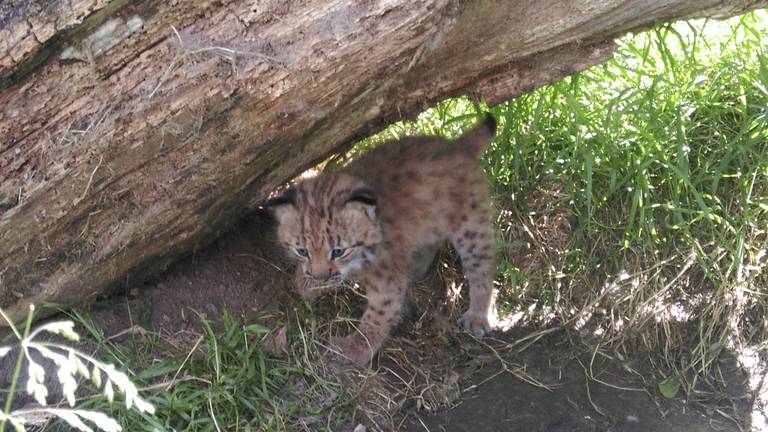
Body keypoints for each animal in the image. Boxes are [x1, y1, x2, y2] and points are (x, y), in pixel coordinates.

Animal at [268, 115, 498, 364]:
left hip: (470, 228)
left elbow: (378, 314)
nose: (320, 277)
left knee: (482, 265)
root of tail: (457, 145)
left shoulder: (386, 278)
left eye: (338, 251)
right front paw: (305, 283)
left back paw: (477, 315)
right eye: (302, 251)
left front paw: (356, 348)